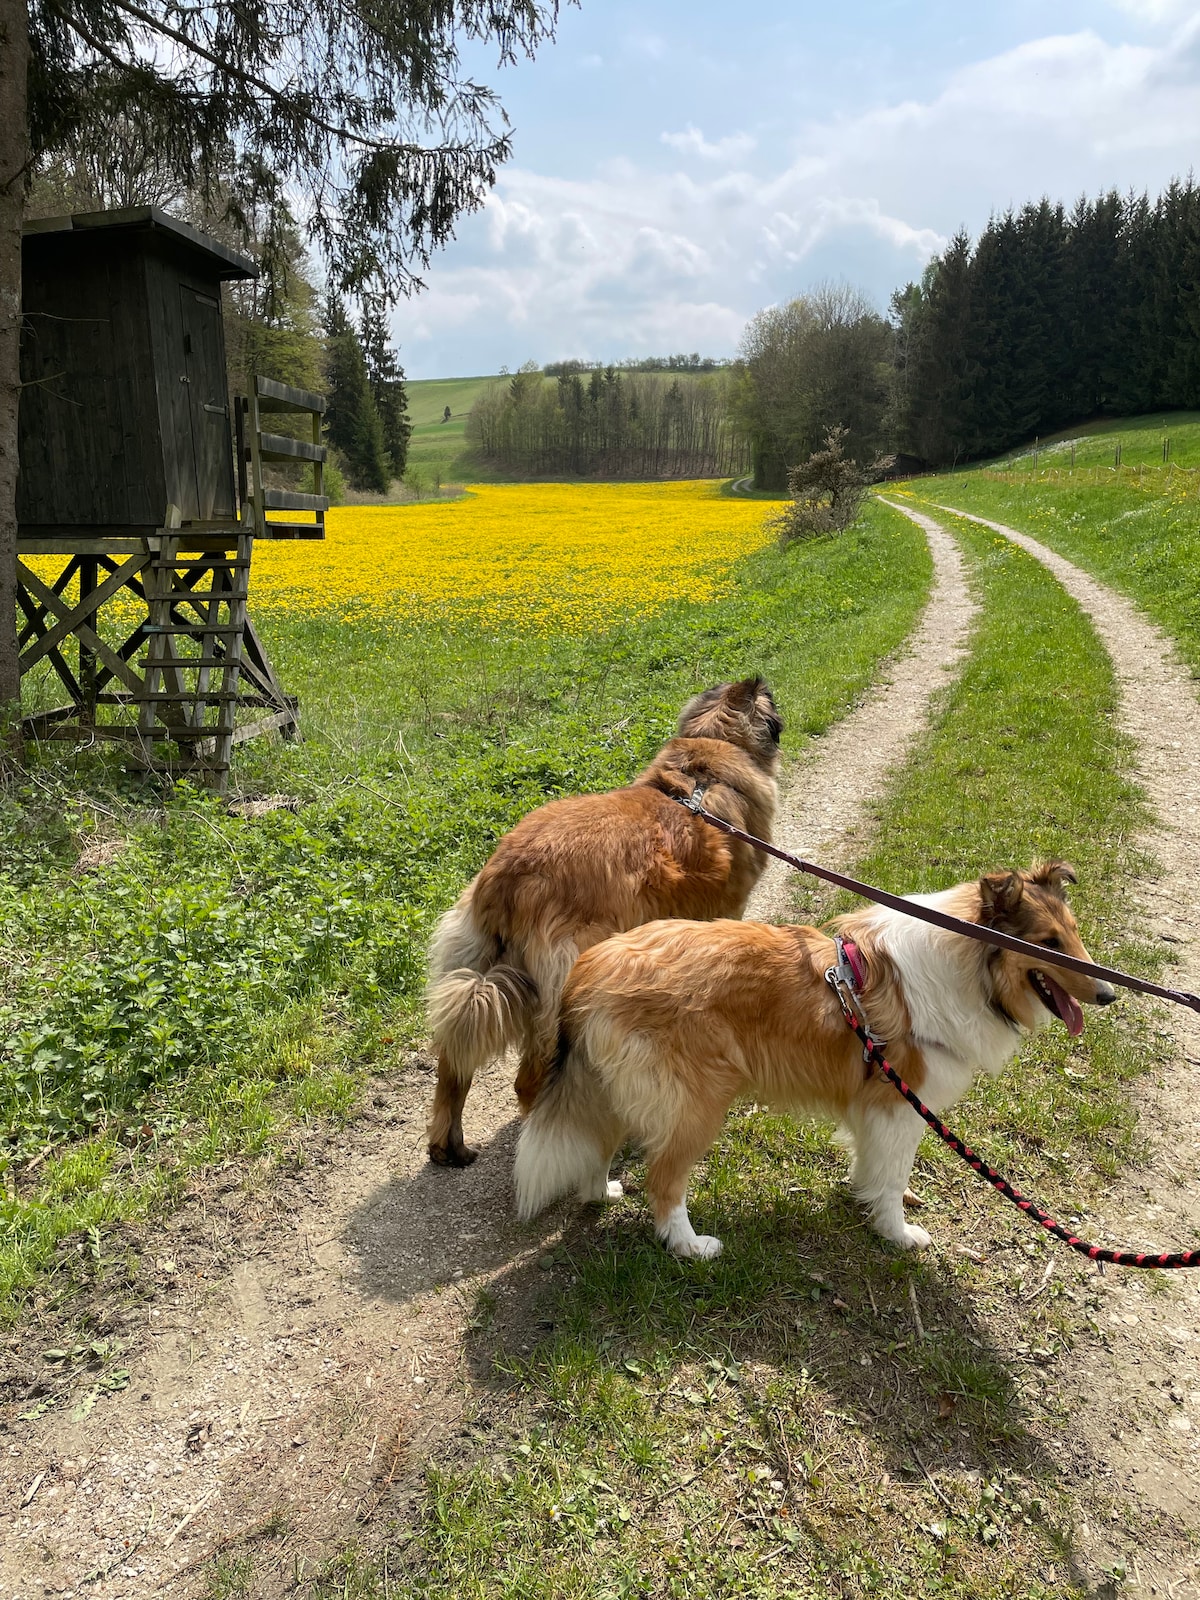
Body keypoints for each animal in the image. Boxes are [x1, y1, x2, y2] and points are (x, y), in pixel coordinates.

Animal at [428, 675, 784, 1164]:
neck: (706, 757)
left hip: (473, 970)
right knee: (531, 1083)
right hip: (568, 979)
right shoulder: (726, 909)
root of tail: (508, 874)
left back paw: (450, 1146)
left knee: (452, 1064)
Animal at [518, 870, 1120, 1254]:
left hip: (618, 1089)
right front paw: (897, 1234)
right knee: (663, 1182)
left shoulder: (877, 1105)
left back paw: (602, 1193)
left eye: (1071, 934)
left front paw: (866, 1196)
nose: (1110, 996)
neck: (968, 963)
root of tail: (591, 968)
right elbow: (894, 1174)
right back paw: (691, 1246)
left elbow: (874, 1164)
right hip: (696, 1105)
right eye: (1047, 943)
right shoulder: (901, 1103)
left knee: (598, 1145)